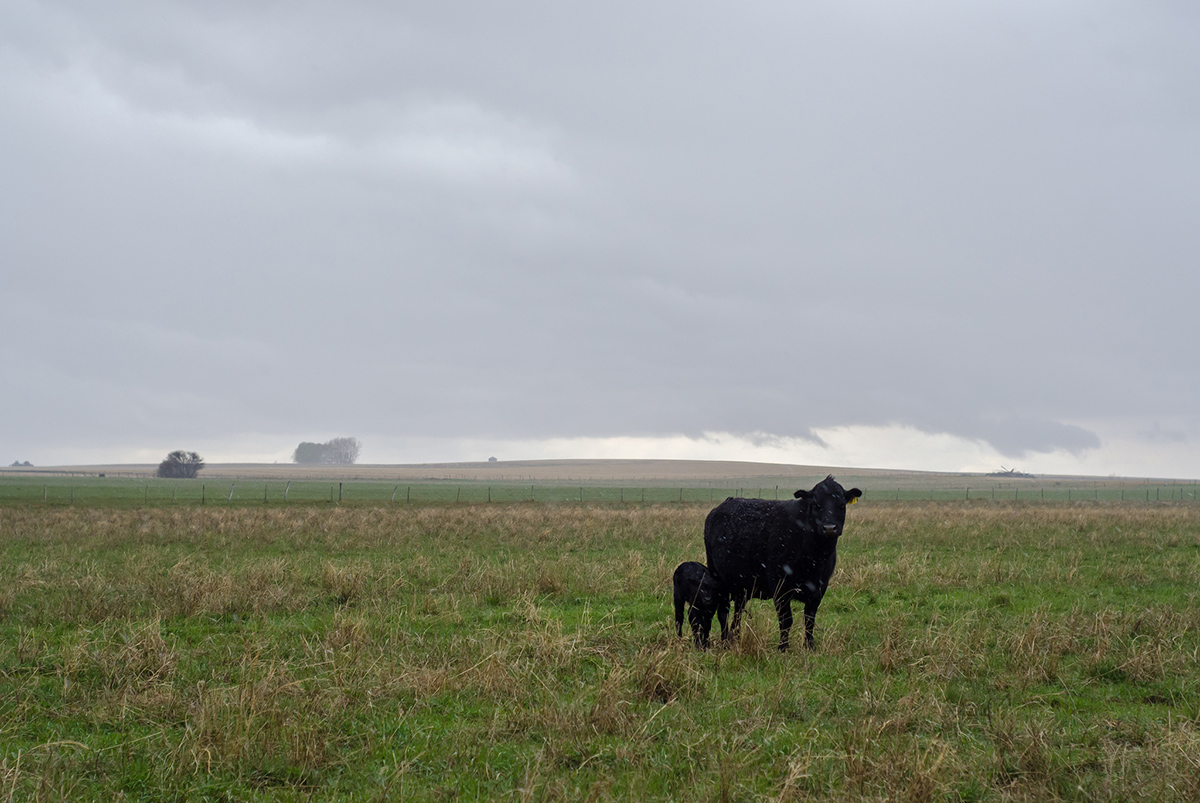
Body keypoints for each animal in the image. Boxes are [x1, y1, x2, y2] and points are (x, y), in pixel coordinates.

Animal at [700, 472, 864, 648]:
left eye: (841, 505)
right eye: (816, 504)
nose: (829, 528)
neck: (814, 557)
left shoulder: (819, 588)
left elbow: (809, 619)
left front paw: (809, 646)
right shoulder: (779, 586)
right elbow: (786, 620)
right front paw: (783, 647)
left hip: (740, 585)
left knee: (738, 611)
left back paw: (735, 638)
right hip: (718, 578)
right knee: (723, 612)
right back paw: (725, 640)